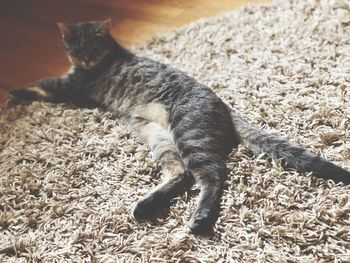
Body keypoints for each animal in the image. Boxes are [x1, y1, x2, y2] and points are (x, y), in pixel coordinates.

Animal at [10, 19, 350, 235]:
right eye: (74, 47)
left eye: (92, 48)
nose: (84, 58)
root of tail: (224, 105)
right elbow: (43, 84)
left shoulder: (71, 87)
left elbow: (41, 84)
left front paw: (14, 93)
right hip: (158, 136)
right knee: (182, 173)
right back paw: (146, 207)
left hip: (188, 134)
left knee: (213, 174)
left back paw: (199, 220)